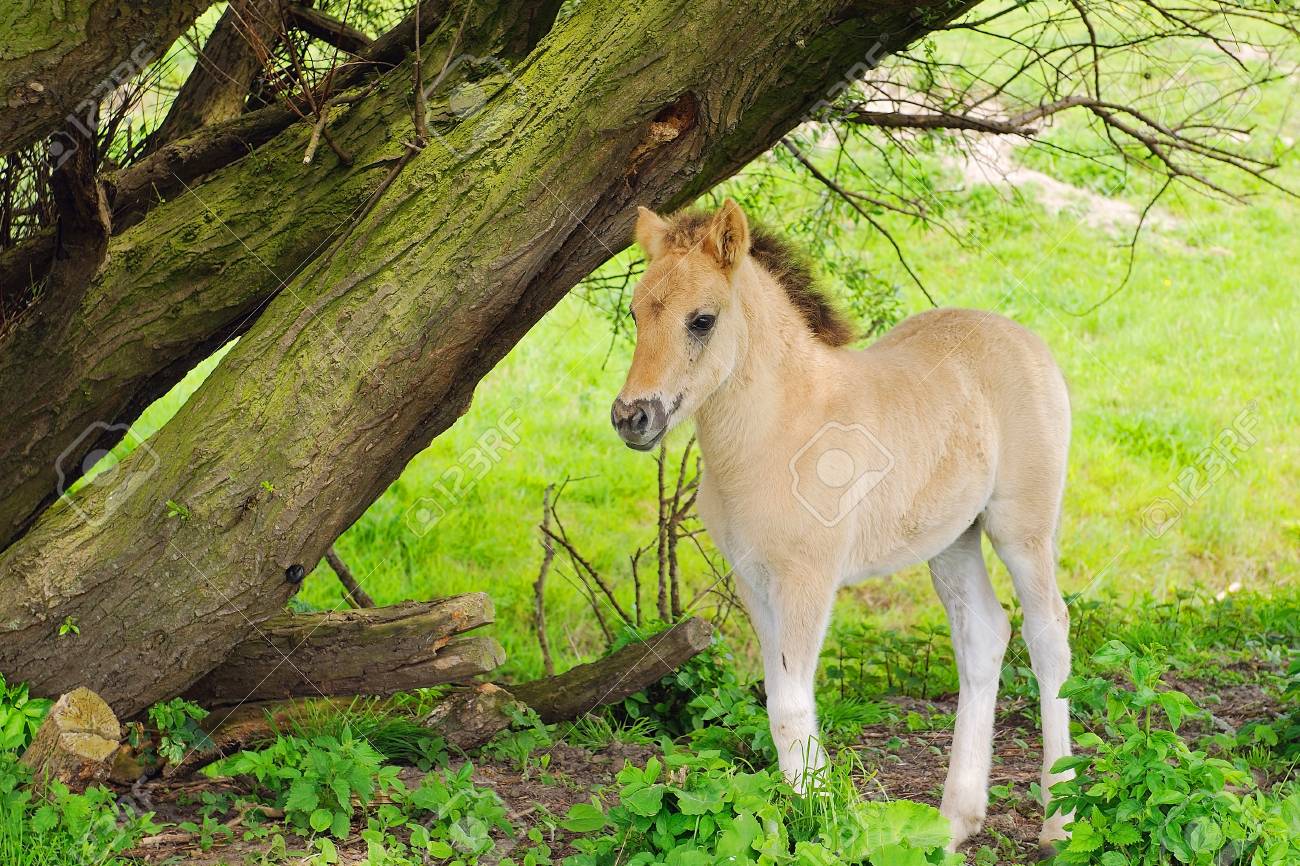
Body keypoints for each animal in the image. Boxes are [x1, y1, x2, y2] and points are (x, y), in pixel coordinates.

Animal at [610, 200, 1074, 852]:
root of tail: (1028, 339)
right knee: (984, 635)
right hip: (951, 540)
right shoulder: (753, 578)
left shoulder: (808, 577)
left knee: (1048, 634)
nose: (633, 417)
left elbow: (790, 705)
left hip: (1022, 527)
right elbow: (778, 700)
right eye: (634, 312)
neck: (776, 428)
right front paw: (802, 816)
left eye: (701, 320)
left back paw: (1059, 822)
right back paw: (953, 823)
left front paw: (821, 820)